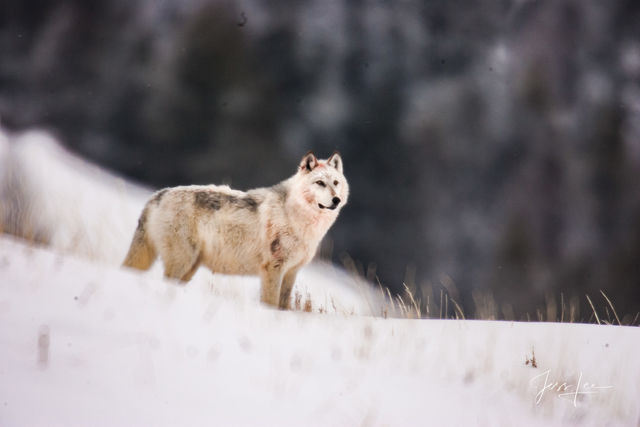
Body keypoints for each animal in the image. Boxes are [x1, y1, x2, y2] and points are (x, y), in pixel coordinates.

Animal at [122, 152, 348, 310]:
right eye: (320, 183)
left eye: (336, 183)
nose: (336, 200)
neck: (299, 220)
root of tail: (158, 194)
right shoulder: (273, 268)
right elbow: (270, 302)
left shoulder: (291, 272)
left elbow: (284, 304)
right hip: (182, 262)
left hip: (189, 268)